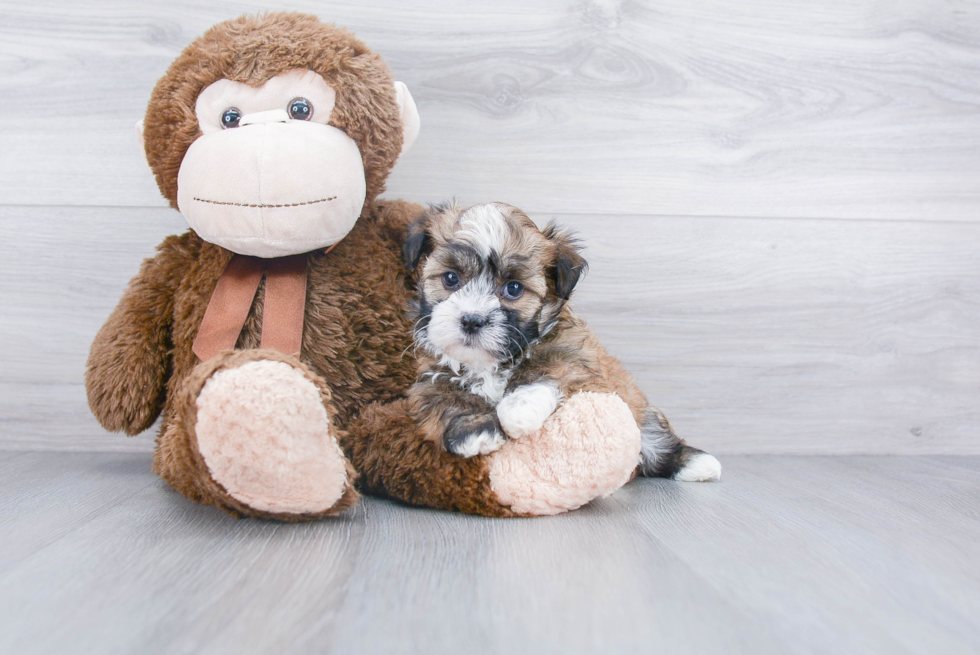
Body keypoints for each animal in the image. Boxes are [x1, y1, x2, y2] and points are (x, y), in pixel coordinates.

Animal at [402, 202, 724, 484]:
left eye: (514, 288)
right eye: (450, 278)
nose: (471, 320)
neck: (489, 363)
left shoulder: (582, 365)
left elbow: (552, 370)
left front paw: (518, 409)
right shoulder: (431, 376)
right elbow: (445, 397)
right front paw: (476, 432)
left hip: (637, 406)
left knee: (655, 440)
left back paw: (697, 464)